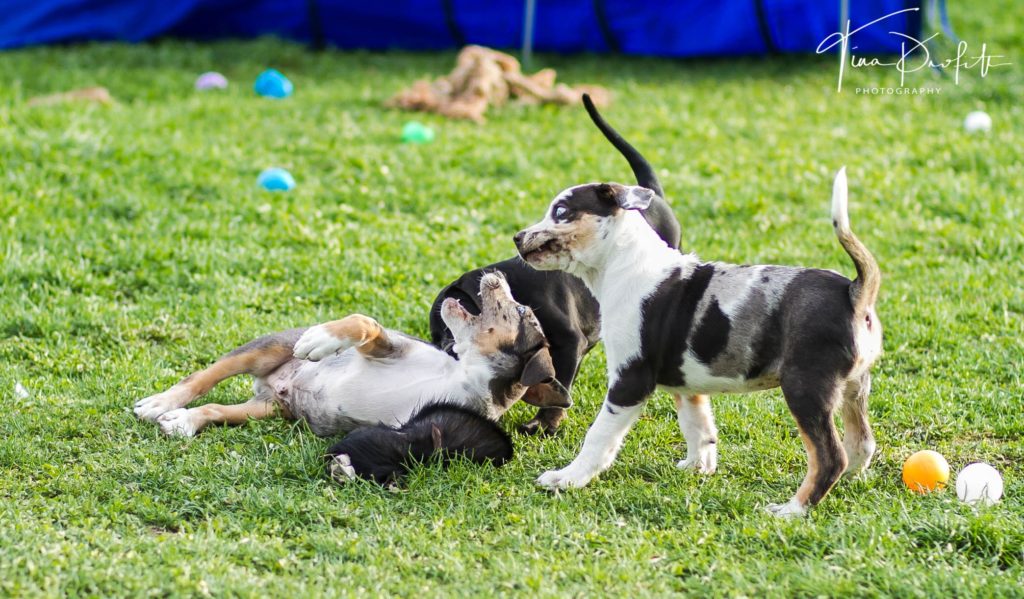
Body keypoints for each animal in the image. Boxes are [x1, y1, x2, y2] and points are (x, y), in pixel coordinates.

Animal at [134, 273, 568, 437]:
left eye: (521, 311)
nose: (500, 275)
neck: (463, 374)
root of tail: (275, 385)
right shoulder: (387, 346)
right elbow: (364, 321)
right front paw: (322, 340)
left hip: (267, 409)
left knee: (216, 409)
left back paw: (183, 421)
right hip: (264, 349)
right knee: (201, 378)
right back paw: (160, 403)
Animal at [430, 94, 682, 435]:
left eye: (443, 329)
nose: (443, 353)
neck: (516, 289)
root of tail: (654, 195)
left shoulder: (570, 340)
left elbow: (558, 381)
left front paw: (545, 422)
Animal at [513, 167, 882, 517]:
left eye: (561, 211)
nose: (517, 237)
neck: (622, 266)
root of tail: (853, 291)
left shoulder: (629, 380)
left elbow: (599, 436)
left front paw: (567, 478)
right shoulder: (686, 385)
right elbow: (698, 428)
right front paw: (697, 468)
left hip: (806, 389)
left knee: (830, 457)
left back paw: (791, 510)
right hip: (853, 387)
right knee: (861, 444)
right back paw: (847, 484)